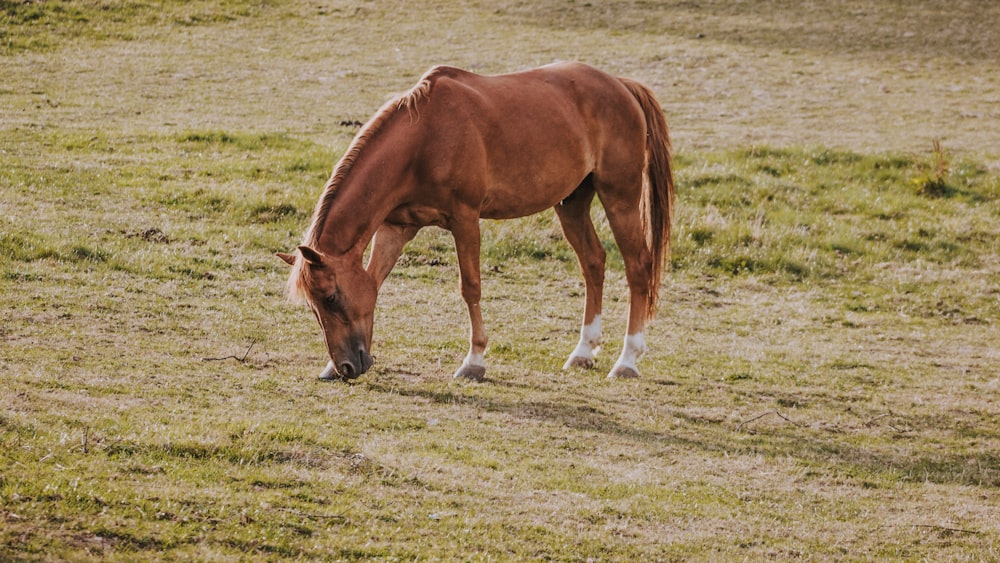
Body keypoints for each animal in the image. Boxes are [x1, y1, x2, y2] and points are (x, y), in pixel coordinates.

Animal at [278, 61, 676, 384]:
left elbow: (470, 288)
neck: (423, 139)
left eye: (331, 297)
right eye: (313, 305)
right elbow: (374, 284)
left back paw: (628, 360)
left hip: (620, 197)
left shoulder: (465, 218)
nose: (347, 367)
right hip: (572, 203)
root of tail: (621, 86)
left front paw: (475, 361)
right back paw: (582, 352)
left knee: (638, 266)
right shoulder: (396, 227)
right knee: (593, 262)